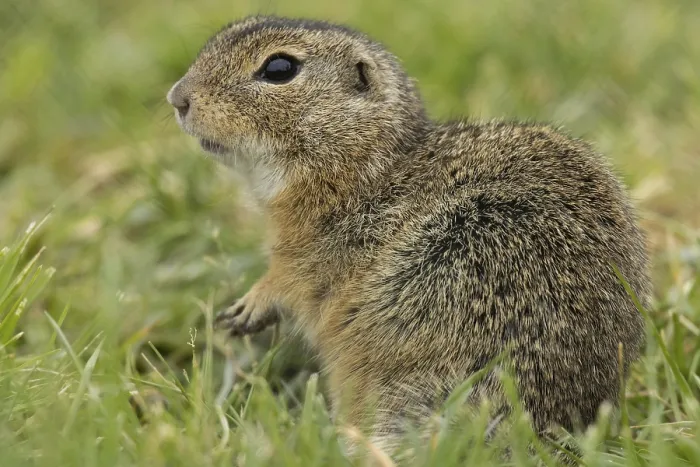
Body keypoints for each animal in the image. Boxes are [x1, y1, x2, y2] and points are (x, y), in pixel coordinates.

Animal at [167, 15, 651, 453]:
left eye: (279, 68)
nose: (177, 98)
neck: (364, 164)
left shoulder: (308, 257)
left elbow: (284, 282)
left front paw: (246, 309)